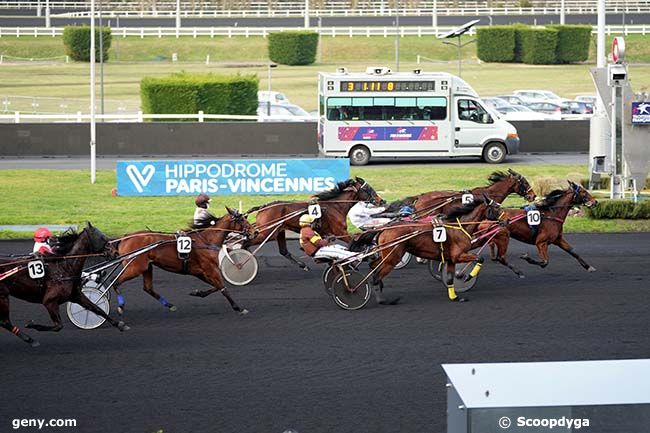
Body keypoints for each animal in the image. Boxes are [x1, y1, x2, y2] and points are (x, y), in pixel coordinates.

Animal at [111, 208, 256, 316]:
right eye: (242, 219)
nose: (254, 232)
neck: (206, 241)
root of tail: (124, 238)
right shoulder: (210, 269)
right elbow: (223, 288)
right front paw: (238, 308)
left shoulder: (199, 272)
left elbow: (216, 286)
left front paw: (197, 292)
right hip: (135, 267)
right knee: (115, 281)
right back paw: (121, 306)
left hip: (147, 267)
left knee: (148, 288)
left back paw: (170, 305)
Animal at [243, 177, 384, 268]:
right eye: (368, 189)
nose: (381, 200)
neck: (335, 206)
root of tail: (263, 207)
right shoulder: (340, 231)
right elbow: (353, 241)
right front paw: (365, 255)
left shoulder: (325, 233)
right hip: (267, 233)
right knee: (246, 242)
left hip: (279, 231)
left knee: (283, 251)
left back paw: (302, 265)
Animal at [352, 194, 504, 302]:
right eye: (497, 208)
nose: (506, 219)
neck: (460, 227)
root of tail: (385, 227)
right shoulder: (458, 255)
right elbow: (480, 258)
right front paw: (468, 276)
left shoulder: (451, 259)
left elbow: (450, 278)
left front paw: (455, 297)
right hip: (393, 258)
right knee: (376, 275)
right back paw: (382, 299)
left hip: (387, 255)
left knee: (373, 265)